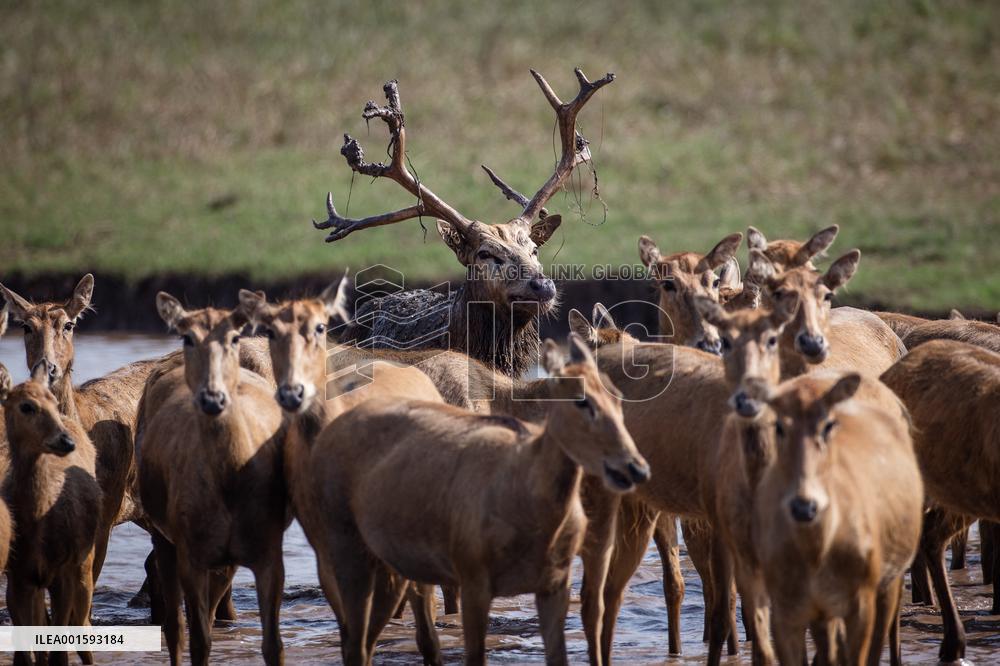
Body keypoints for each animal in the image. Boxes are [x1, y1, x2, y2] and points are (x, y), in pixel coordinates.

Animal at [3, 360, 102, 666]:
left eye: (53, 402)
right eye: (26, 406)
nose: (65, 442)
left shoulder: (63, 570)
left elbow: (60, 651)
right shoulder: (18, 576)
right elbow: (27, 652)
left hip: (84, 563)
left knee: (83, 629)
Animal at [138, 294, 287, 666]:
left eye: (234, 337)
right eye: (187, 336)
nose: (212, 396)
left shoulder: (268, 551)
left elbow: (273, 645)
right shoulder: (191, 552)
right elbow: (199, 640)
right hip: (165, 535)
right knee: (175, 627)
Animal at [754, 372, 923, 666]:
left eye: (827, 425)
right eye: (779, 427)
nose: (805, 507)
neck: (816, 550)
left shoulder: (861, 601)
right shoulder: (786, 609)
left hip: (889, 582)